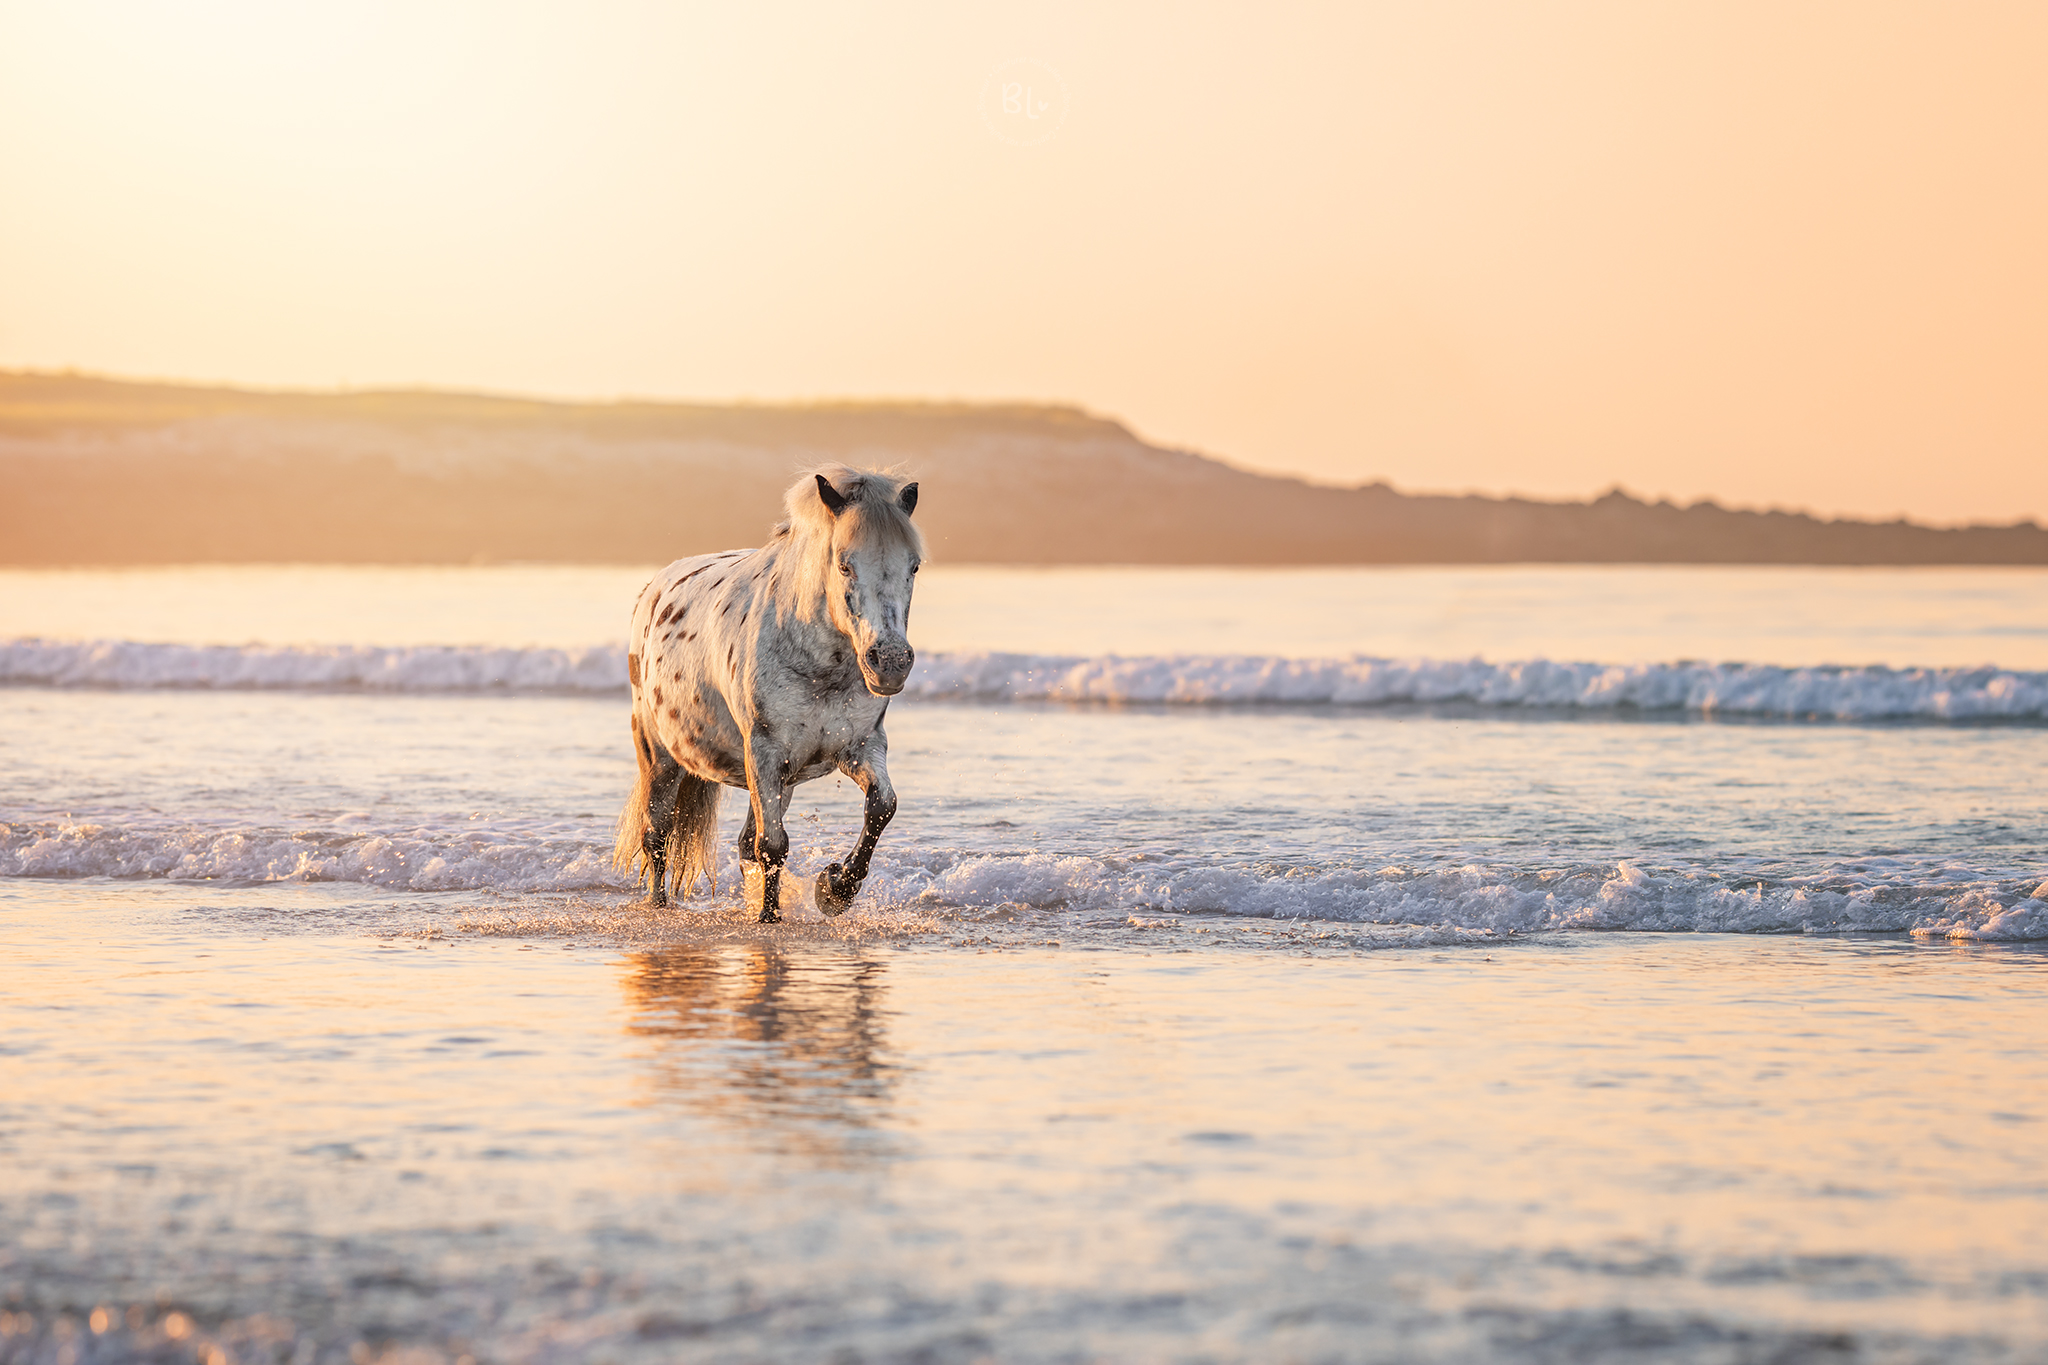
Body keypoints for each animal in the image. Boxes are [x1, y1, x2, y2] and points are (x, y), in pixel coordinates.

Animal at [613, 465, 923, 922]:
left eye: (914, 566)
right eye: (844, 565)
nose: (890, 662)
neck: (820, 669)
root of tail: (653, 589)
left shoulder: (860, 747)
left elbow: (882, 806)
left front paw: (834, 888)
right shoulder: (764, 751)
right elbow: (772, 844)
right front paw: (771, 919)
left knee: (742, 841)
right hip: (661, 756)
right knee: (657, 836)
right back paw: (659, 905)